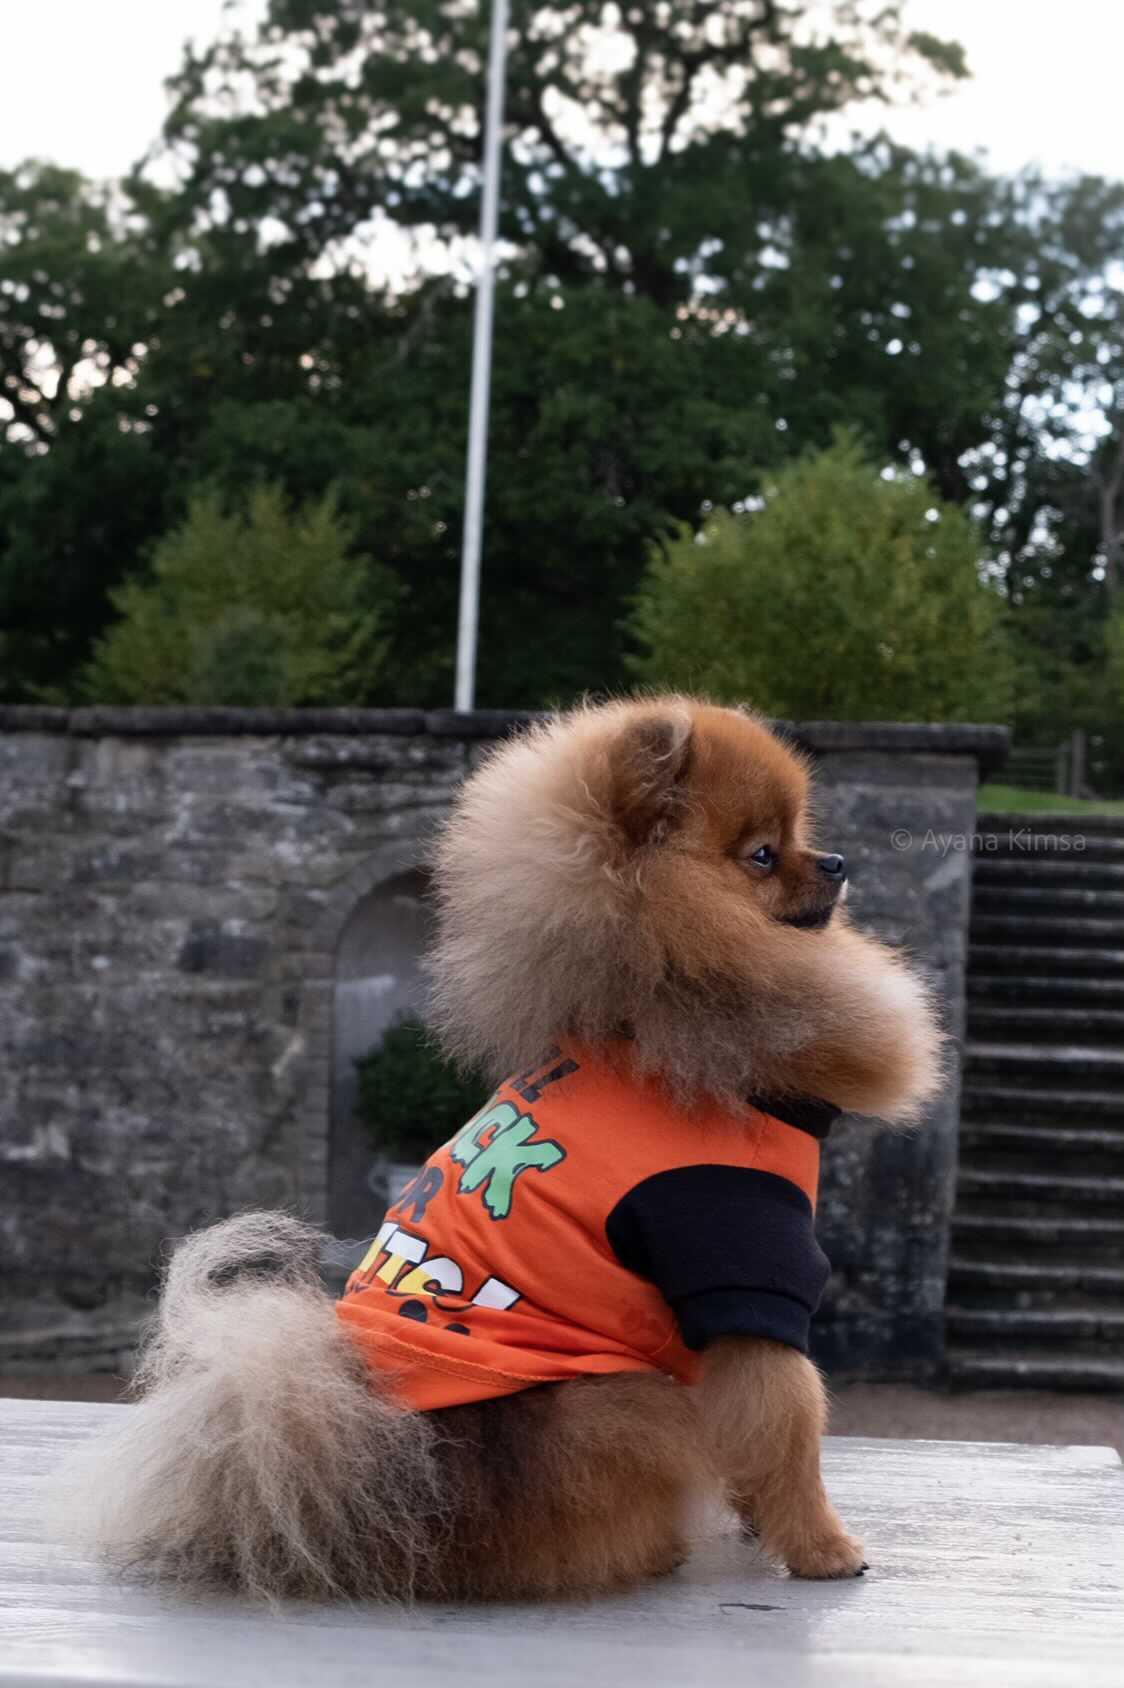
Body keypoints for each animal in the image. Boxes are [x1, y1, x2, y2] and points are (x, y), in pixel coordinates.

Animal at [59, 697, 942, 1600]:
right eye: (762, 855)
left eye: (801, 835)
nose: (836, 861)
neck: (653, 1003)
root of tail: (379, 1478)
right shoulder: (739, 1252)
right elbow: (790, 1416)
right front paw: (822, 1547)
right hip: (611, 1400)